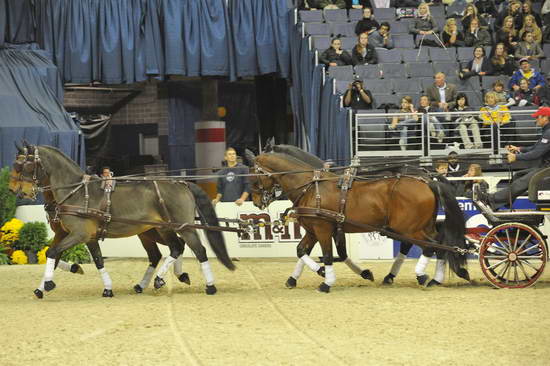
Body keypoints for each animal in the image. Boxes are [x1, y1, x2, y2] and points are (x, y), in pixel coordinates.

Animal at [9, 143, 235, 298]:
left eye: (25, 164)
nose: (17, 191)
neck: (76, 192)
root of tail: (182, 183)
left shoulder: (79, 234)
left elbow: (54, 253)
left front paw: (48, 285)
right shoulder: (81, 235)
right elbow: (87, 259)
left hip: (184, 227)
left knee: (198, 250)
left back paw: (209, 286)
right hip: (159, 230)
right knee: (173, 249)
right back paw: (155, 281)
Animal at [250, 151, 470, 292]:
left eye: (254, 175)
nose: (255, 201)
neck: (311, 187)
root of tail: (428, 180)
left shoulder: (323, 229)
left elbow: (328, 255)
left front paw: (326, 280)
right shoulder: (313, 230)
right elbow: (301, 251)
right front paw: (296, 278)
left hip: (408, 228)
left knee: (431, 246)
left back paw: (422, 275)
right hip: (421, 226)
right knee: (439, 245)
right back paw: (433, 279)